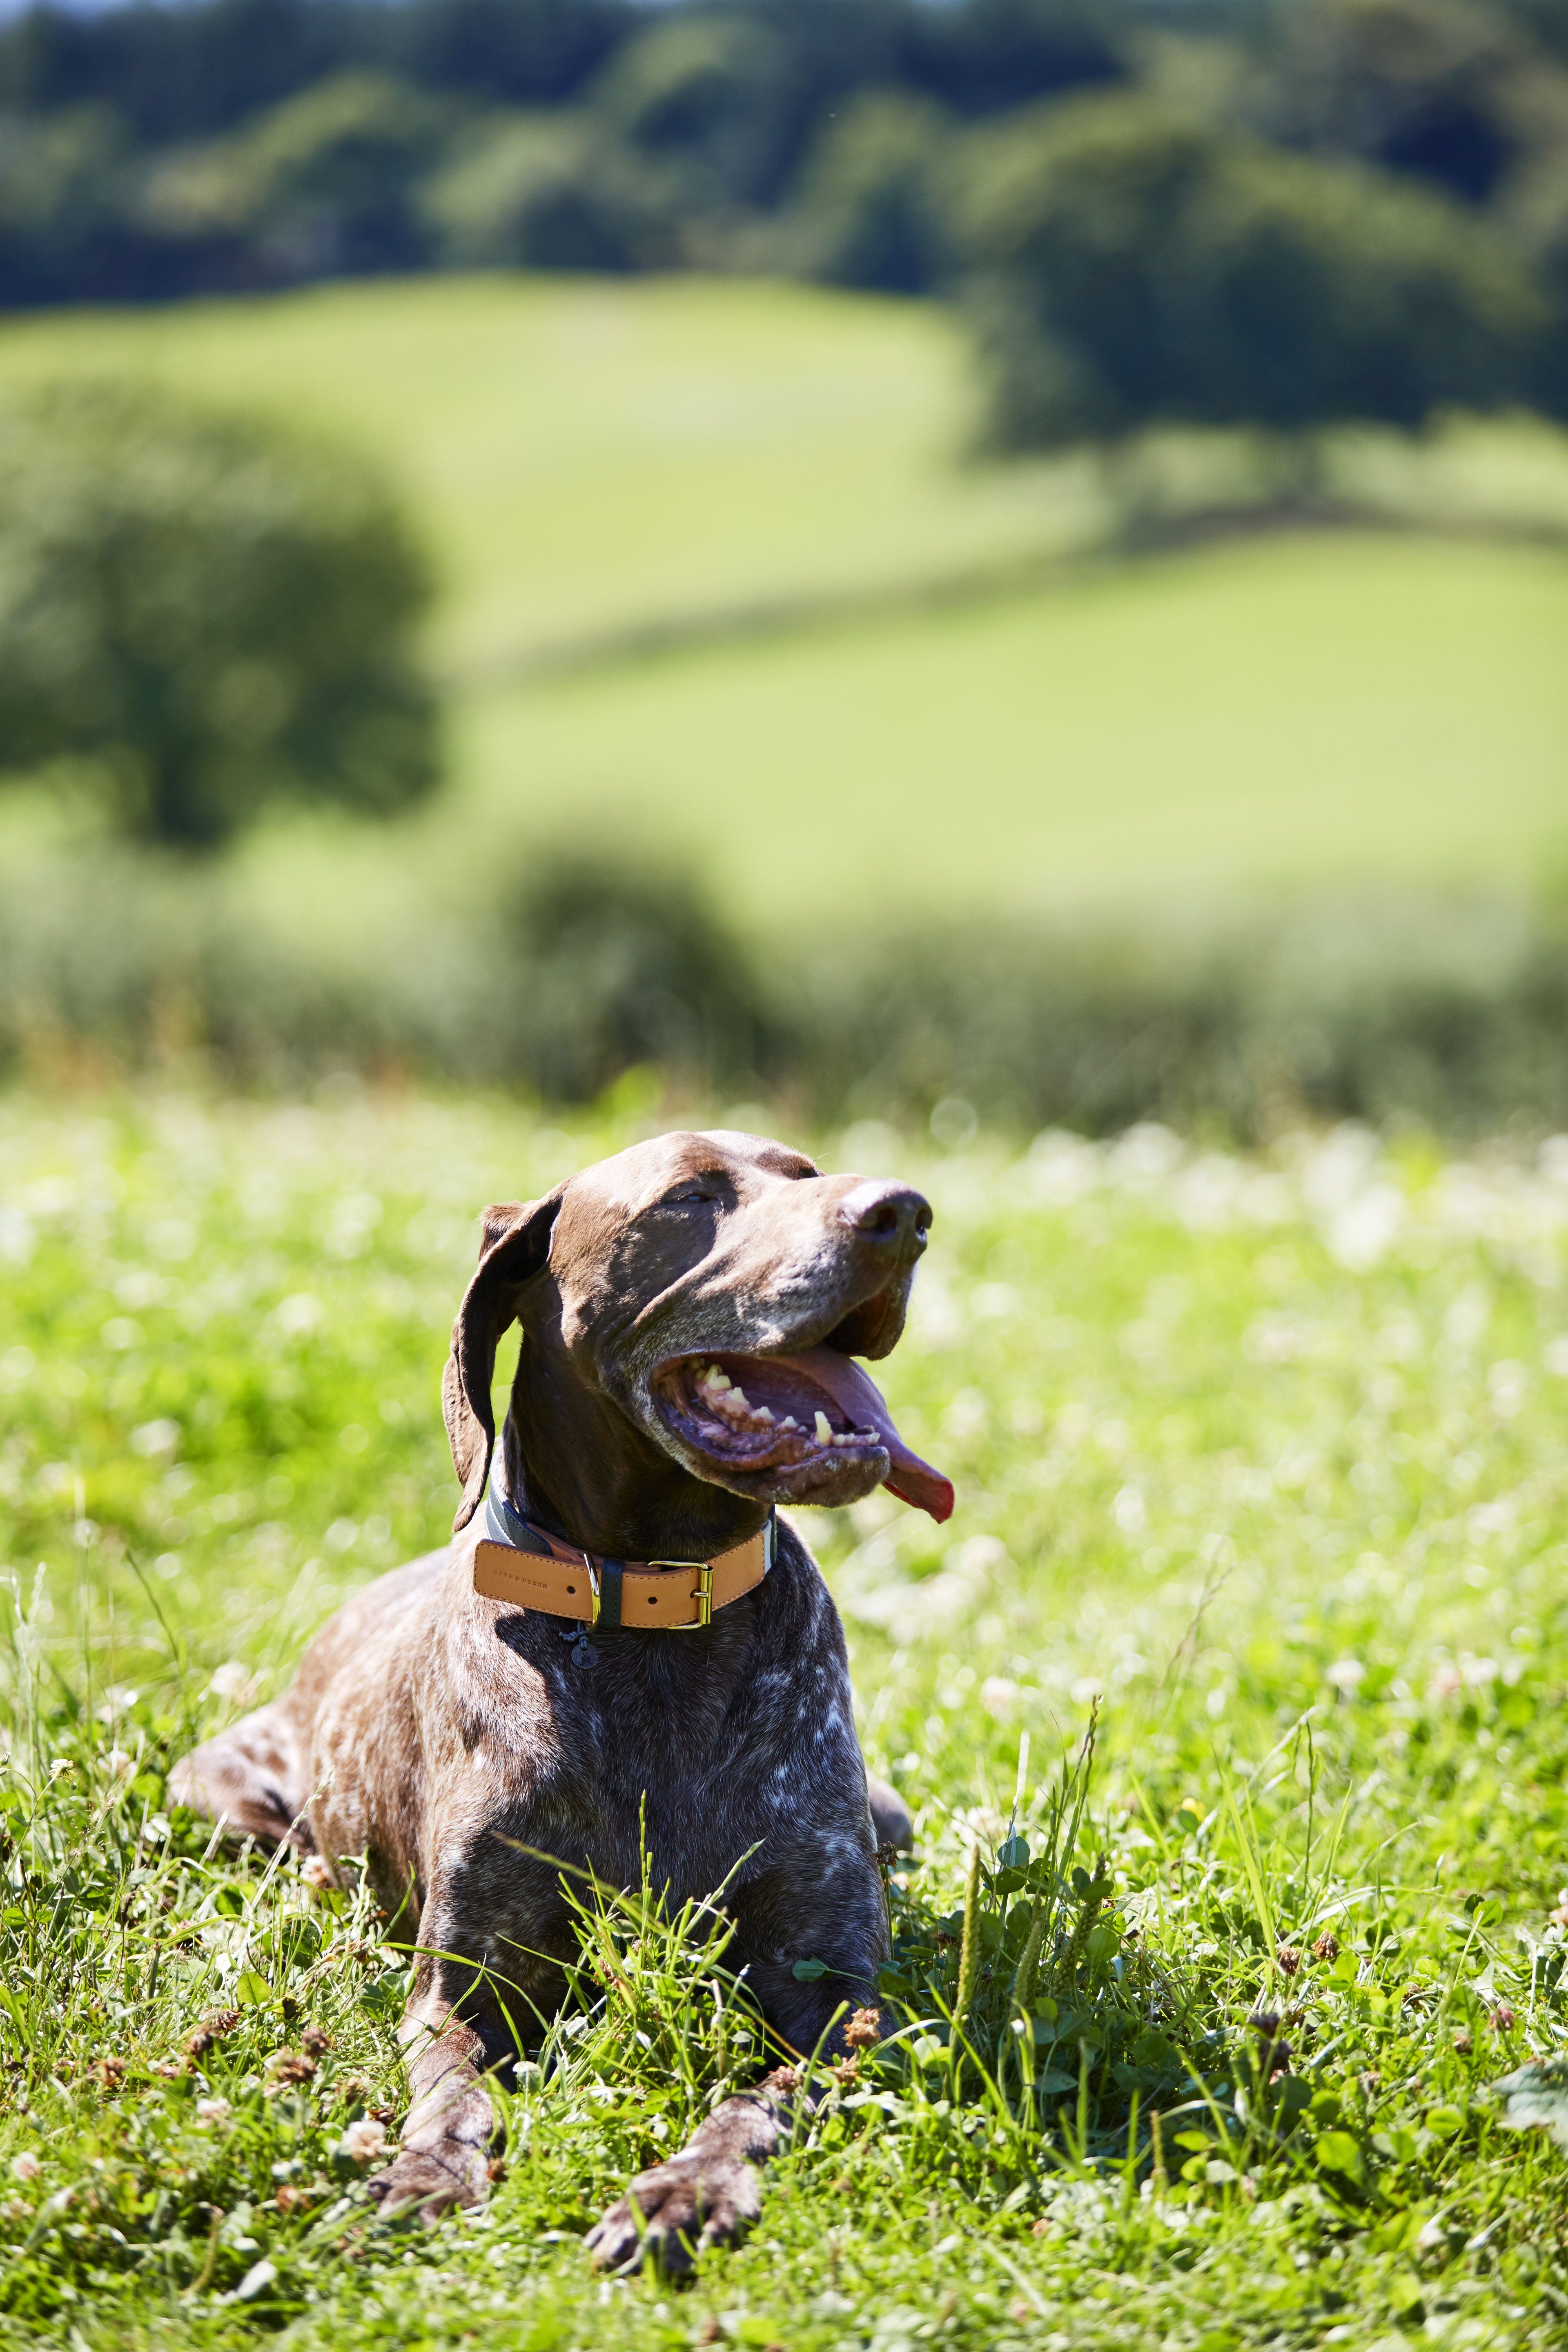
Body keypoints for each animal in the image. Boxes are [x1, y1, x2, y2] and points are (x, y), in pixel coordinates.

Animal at [173, 1129, 959, 2267]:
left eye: (808, 1174)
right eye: (689, 1197)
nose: (904, 1213)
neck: (654, 1612)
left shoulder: (835, 2001)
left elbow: (754, 2101)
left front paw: (684, 2187)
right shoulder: (465, 1991)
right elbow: (453, 2097)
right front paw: (428, 2168)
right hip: (220, 1802)